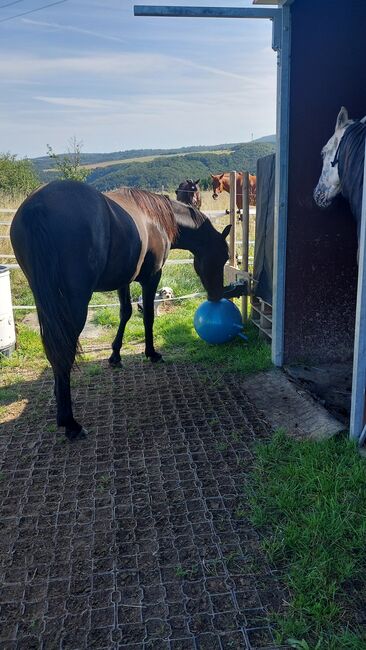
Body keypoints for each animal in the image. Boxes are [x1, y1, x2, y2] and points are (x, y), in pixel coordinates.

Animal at [11, 180, 232, 438]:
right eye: (223, 256)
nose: (217, 294)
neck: (157, 218)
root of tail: (38, 206)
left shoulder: (123, 280)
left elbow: (125, 312)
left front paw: (115, 355)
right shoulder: (151, 278)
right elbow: (148, 316)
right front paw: (151, 353)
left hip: (45, 299)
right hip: (74, 302)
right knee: (64, 349)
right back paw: (70, 422)